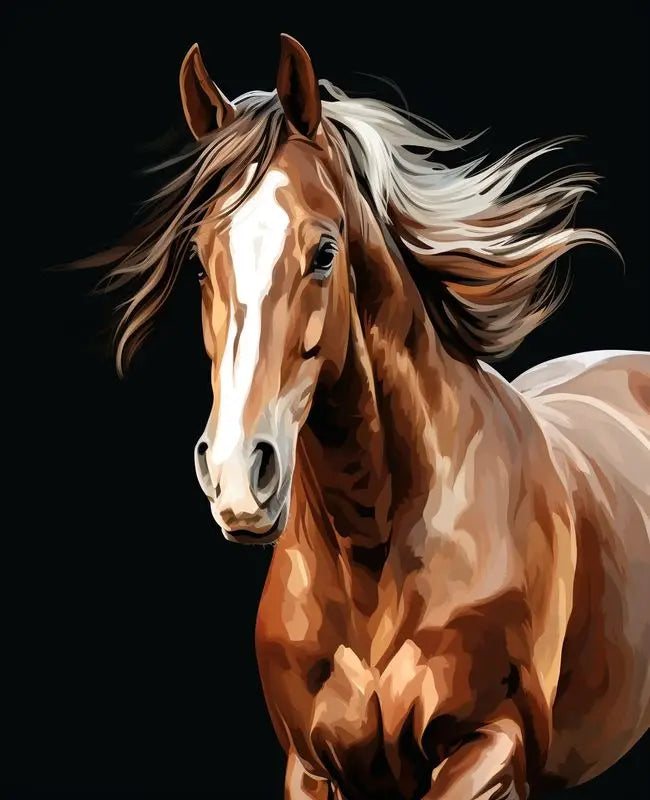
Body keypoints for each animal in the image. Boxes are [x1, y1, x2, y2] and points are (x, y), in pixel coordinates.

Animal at [82, 34, 650, 800]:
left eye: (324, 251)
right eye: (199, 262)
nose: (236, 479)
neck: (374, 551)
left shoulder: (492, 749)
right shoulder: (312, 766)